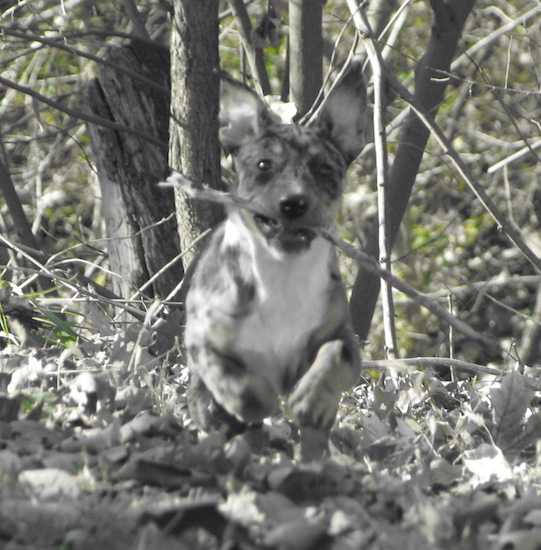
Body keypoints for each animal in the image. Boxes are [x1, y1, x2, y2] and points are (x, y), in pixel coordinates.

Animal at [184, 64, 364, 462]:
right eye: (263, 165)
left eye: (324, 170)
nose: (293, 203)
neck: (282, 272)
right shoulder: (204, 338)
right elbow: (231, 378)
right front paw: (255, 401)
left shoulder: (341, 334)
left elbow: (334, 355)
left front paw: (310, 398)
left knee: (313, 440)